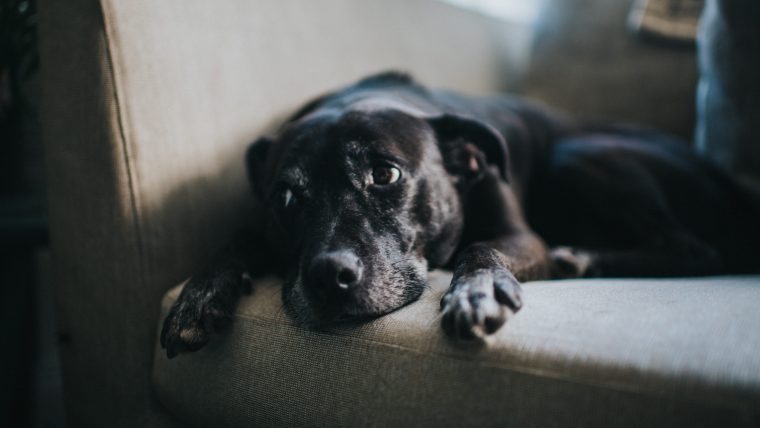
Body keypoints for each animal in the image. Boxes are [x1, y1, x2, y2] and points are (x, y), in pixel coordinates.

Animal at [160, 71, 760, 358]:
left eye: (385, 174)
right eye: (286, 198)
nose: (329, 276)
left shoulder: (520, 236)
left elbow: (481, 245)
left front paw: (477, 289)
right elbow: (239, 235)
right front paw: (199, 296)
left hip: (576, 154)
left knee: (698, 250)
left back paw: (583, 258)